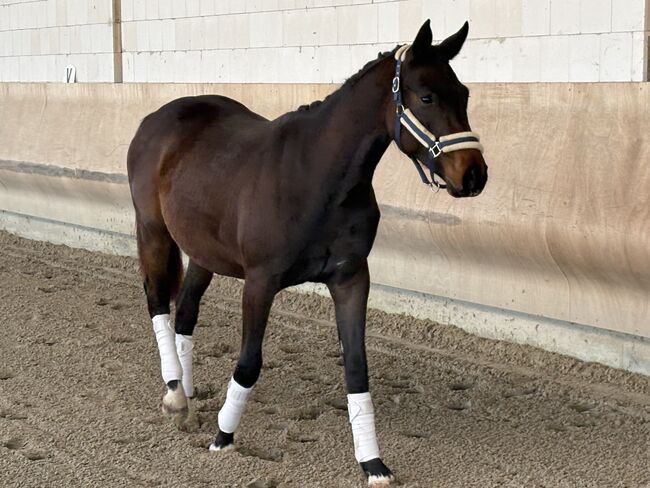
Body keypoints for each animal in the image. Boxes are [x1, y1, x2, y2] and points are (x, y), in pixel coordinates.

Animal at [127, 19, 487, 487]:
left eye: (463, 94)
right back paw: (173, 395)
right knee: (157, 302)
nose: (475, 175)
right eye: (426, 96)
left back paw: (185, 393)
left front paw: (373, 463)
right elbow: (249, 362)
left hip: (204, 252)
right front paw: (224, 437)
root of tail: (157, 117)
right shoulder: (260, 282)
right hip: (153, 232)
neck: (318, 177)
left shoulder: (351, 279)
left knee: (186, 312)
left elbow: (357, 367)